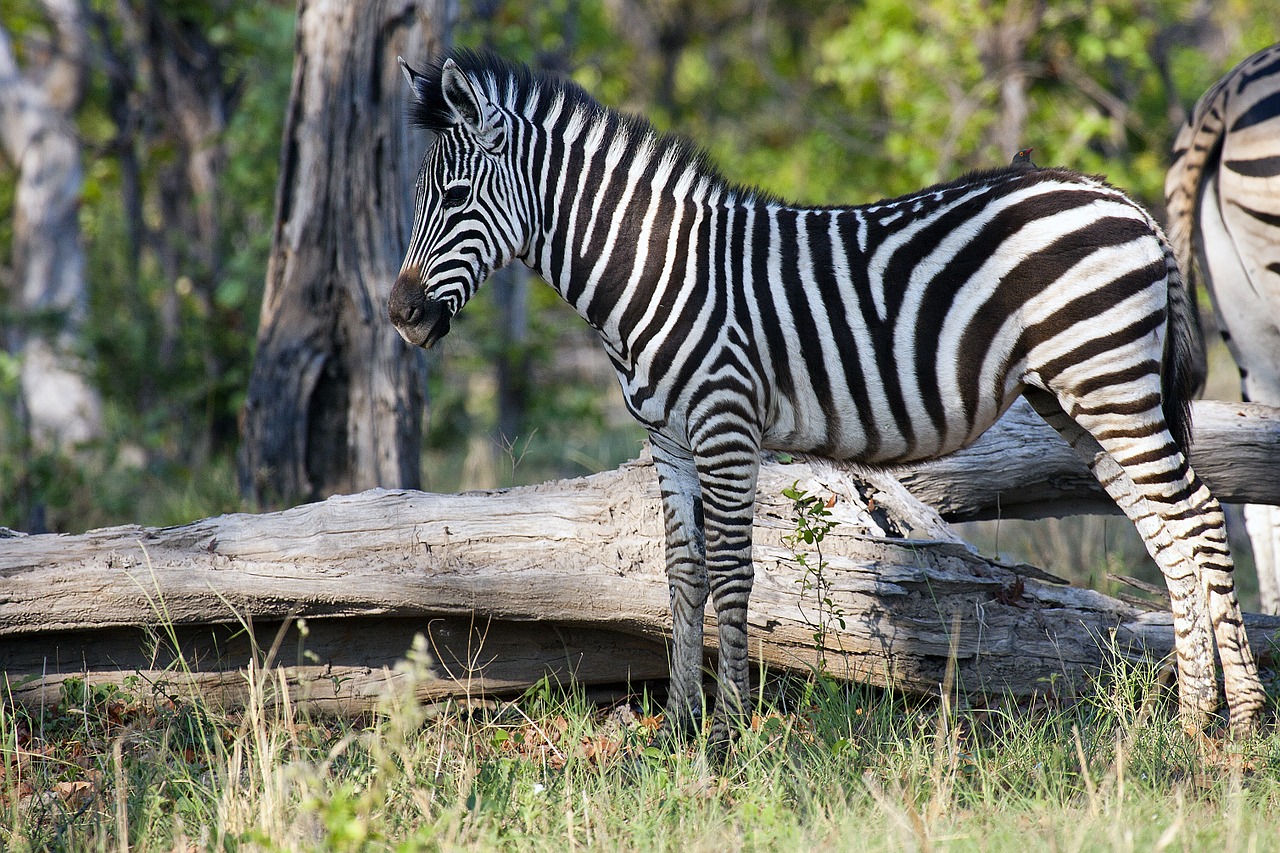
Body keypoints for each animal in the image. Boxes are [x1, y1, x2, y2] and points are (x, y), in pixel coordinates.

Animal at [391, 51, 1269, 742]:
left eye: (457, 195)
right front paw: (675, 728)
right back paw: (1191, 720)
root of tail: (1126, 204)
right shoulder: (668, 441)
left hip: (1110, 380)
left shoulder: (726, 427)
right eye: (424, 194)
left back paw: (1244, 723)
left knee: (1196, 517)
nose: (401, 314)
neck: (657, 270)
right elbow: (682, 575)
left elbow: (734, 574)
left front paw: (727, 733)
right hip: (1082, 397)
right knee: (1164, 529)